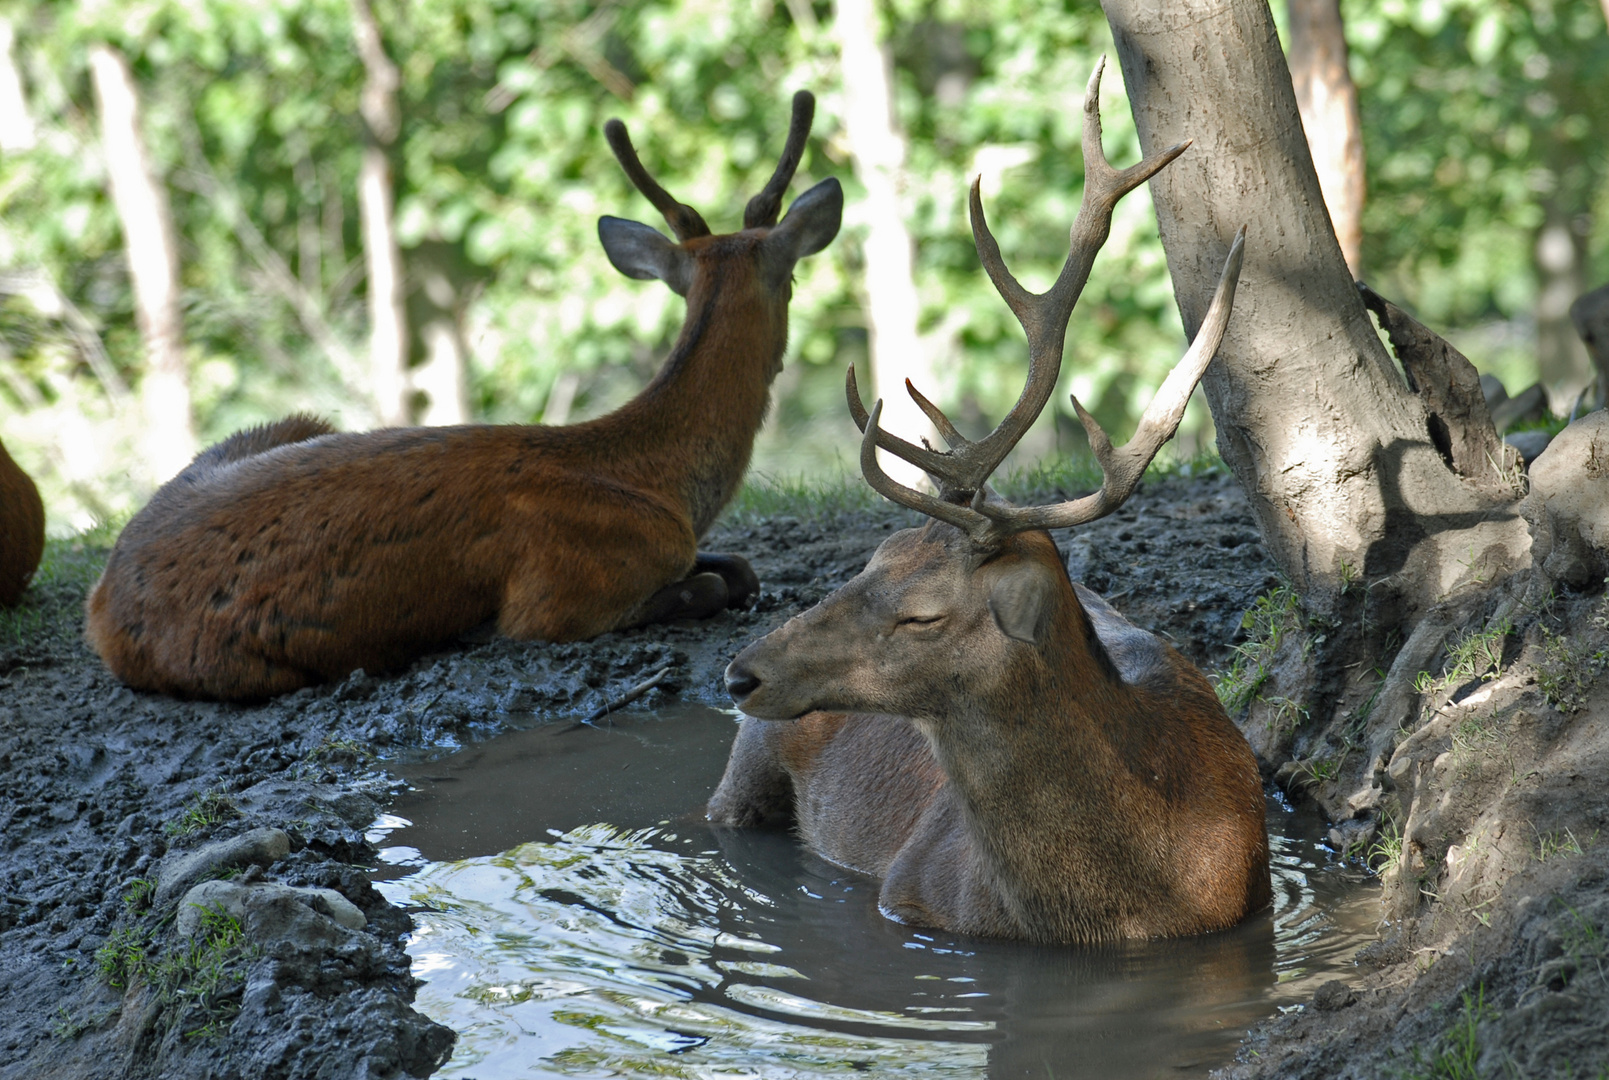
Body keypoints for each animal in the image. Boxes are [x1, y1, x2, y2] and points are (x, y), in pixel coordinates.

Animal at [86, 92, 843, 701]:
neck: (659, 482)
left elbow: (738, 566)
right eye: (794, 280)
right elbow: (713, 582)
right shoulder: (559, 598)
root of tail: (99, 602)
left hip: (289, 423)